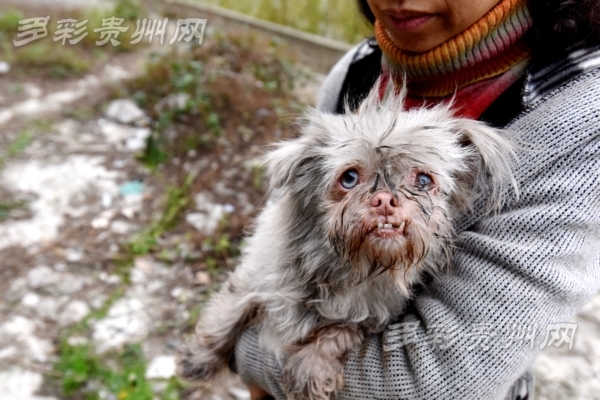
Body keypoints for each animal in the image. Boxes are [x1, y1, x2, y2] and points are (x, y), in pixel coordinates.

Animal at [177, 85, 516, 400]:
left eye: (423, 180)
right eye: (349, 178)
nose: (385, 199)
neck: (345, 269)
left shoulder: (374, 317)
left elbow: (341, 329)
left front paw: (310, 366)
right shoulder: (253, 276)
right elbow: (230, 311)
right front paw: (202, 357)